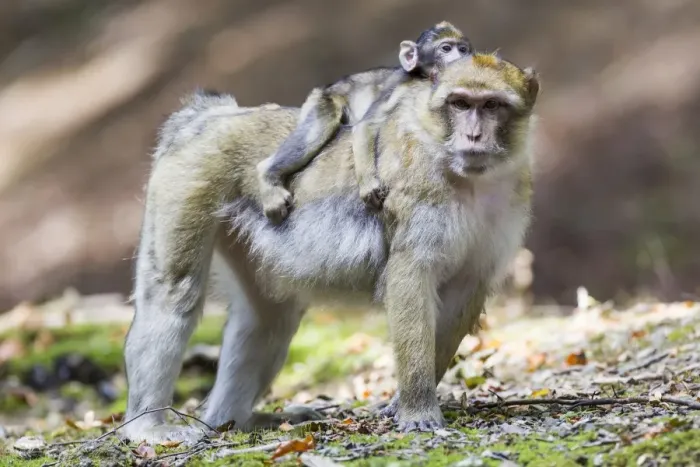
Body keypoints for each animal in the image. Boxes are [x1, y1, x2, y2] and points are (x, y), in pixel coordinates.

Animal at [121, 52, 540, 444]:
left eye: (491, 105)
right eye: (460, 104)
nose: (474, 136)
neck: (467, 178)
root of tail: (210, 115)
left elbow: (464, 293)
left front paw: (399, 403)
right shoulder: (418, 201)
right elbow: (409, 280)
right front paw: (418, 409)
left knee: (268, 319)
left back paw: (235, 420)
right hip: (188, 181)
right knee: (173, 294)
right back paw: (147, 425)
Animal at [256, 21, 473, 223]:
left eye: (463, 49)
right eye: (446, 48)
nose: (461, 59)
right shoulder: (400, 84)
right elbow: (365, 125)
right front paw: (369, 184)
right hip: (324, 100)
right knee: (320, 126)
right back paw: (267, 174)